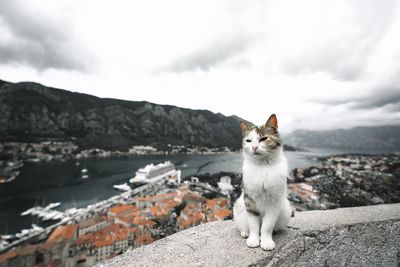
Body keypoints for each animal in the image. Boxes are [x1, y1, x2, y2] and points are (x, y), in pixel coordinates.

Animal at [234, 114, 290, 251]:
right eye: (248, 141)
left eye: (263, 138)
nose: (254, 147)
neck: (263, 166)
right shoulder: (249, 201)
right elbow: (254, 225)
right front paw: (253, 240)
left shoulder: (274, 203)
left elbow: (267, 226)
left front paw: (266, 242)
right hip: (238, 206)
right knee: (243, 226)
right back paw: (245, 233)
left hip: (286, 208)